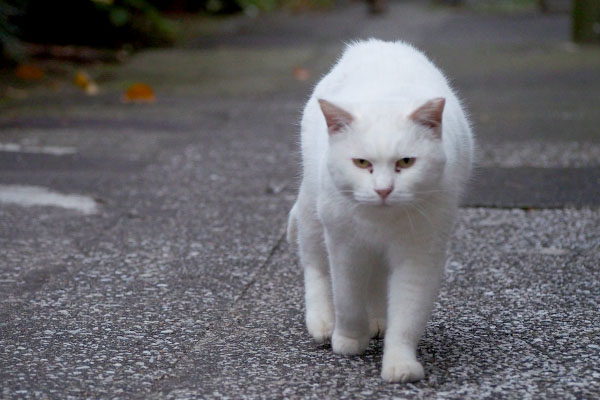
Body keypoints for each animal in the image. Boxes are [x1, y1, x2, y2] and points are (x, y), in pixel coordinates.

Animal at [288, 39, 476, 382]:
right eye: (362, 163)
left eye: (406, 162)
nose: (384, 190)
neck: (381, 221)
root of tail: (376, 44)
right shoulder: (345, 246)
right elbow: (347, 298)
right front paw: (348, 340)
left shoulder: (420, 254)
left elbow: (407, 314)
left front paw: (400, 365)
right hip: (312, 213)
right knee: (315, 267)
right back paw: (322, 323)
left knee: (376, 280)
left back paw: (377, 320)